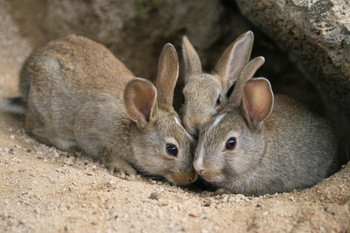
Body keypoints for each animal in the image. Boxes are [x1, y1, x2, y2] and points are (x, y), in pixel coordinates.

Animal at [8, 34, 197, 185]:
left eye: (192, 139)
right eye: (172, 149)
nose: (190, 178)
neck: (131, 132)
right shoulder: (91, 130)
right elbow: (102, 150)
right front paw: (123, 168)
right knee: (33, 127)